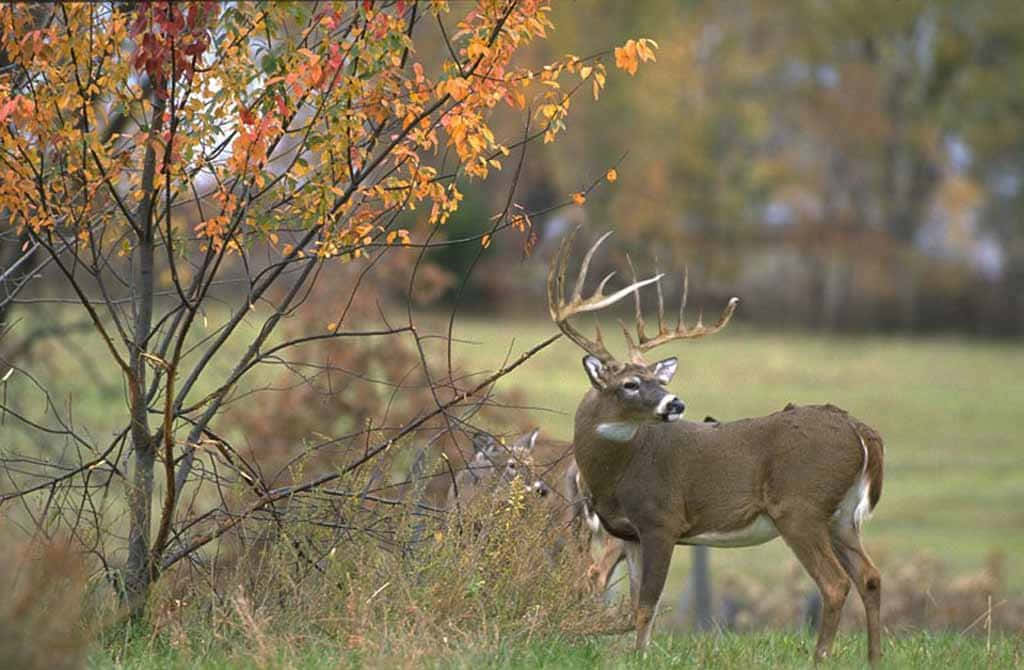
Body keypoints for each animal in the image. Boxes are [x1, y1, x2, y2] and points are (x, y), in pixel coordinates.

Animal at [547, 226, 885, 664]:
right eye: (631, 383)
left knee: (835, 583)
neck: (618, 473)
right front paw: (636, 654)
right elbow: (636, 604)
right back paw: (874, 658)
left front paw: (642, 658)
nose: (675, 403)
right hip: (841, 517)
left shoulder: (662, 520)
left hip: (800, 508)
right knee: (870, 577)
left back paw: (820, 659)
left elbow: (646, 605)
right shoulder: (630, 534)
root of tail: (859, 430)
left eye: (659, 380)